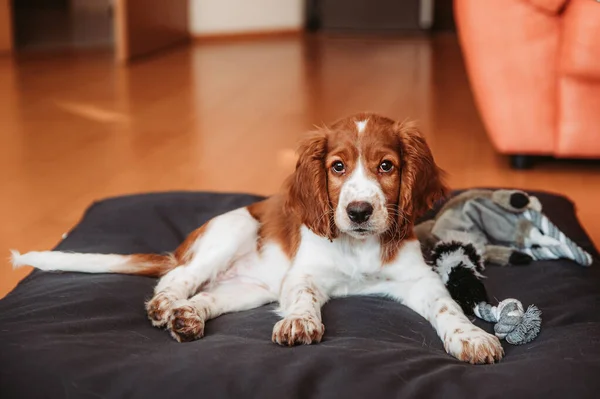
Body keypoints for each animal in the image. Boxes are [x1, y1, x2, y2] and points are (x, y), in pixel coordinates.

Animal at [12, 112, 502, 366]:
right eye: (337, 167)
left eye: (386, 167)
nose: (359, 212)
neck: (358, 247)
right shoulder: (303, 274)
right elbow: (303, 296)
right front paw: (300, 323)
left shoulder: (419, 280)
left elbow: (448, 307)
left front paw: (472, 337)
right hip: (233, 231)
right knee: (178, 279)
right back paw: (167, 306)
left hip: (252, 289)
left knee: (207, 296)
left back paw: (188, 318)